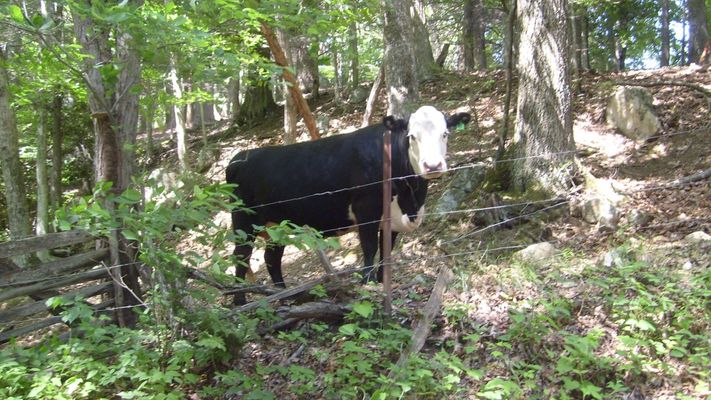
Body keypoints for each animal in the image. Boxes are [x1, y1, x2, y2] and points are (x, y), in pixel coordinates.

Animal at [229, 105, 472, 304]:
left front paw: (383, 282)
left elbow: (386, 251)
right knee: (241, 256)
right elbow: (370, 248)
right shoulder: (366, 209)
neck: (410, 200)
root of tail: (239, 157)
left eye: (445, 134)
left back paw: (283, 296)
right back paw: (240, 301)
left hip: (278, 227)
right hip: (244, 221)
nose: (433, 166)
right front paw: (368, 284)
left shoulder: (392, 219)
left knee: (272, 258)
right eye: (412, 136)